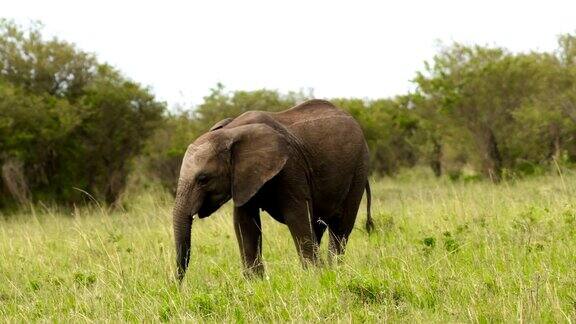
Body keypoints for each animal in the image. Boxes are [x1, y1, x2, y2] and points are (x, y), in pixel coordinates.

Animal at [173, 98, 376, 280]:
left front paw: (313, 278)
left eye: (203, 179)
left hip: (359, 167)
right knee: (318, 226)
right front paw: (255, 283)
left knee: (341, 226)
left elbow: (297, 217)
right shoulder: (243, 178)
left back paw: (335, 271)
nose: (178, 285)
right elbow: (244, 223)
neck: (231, 131)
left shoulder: (290, 168)